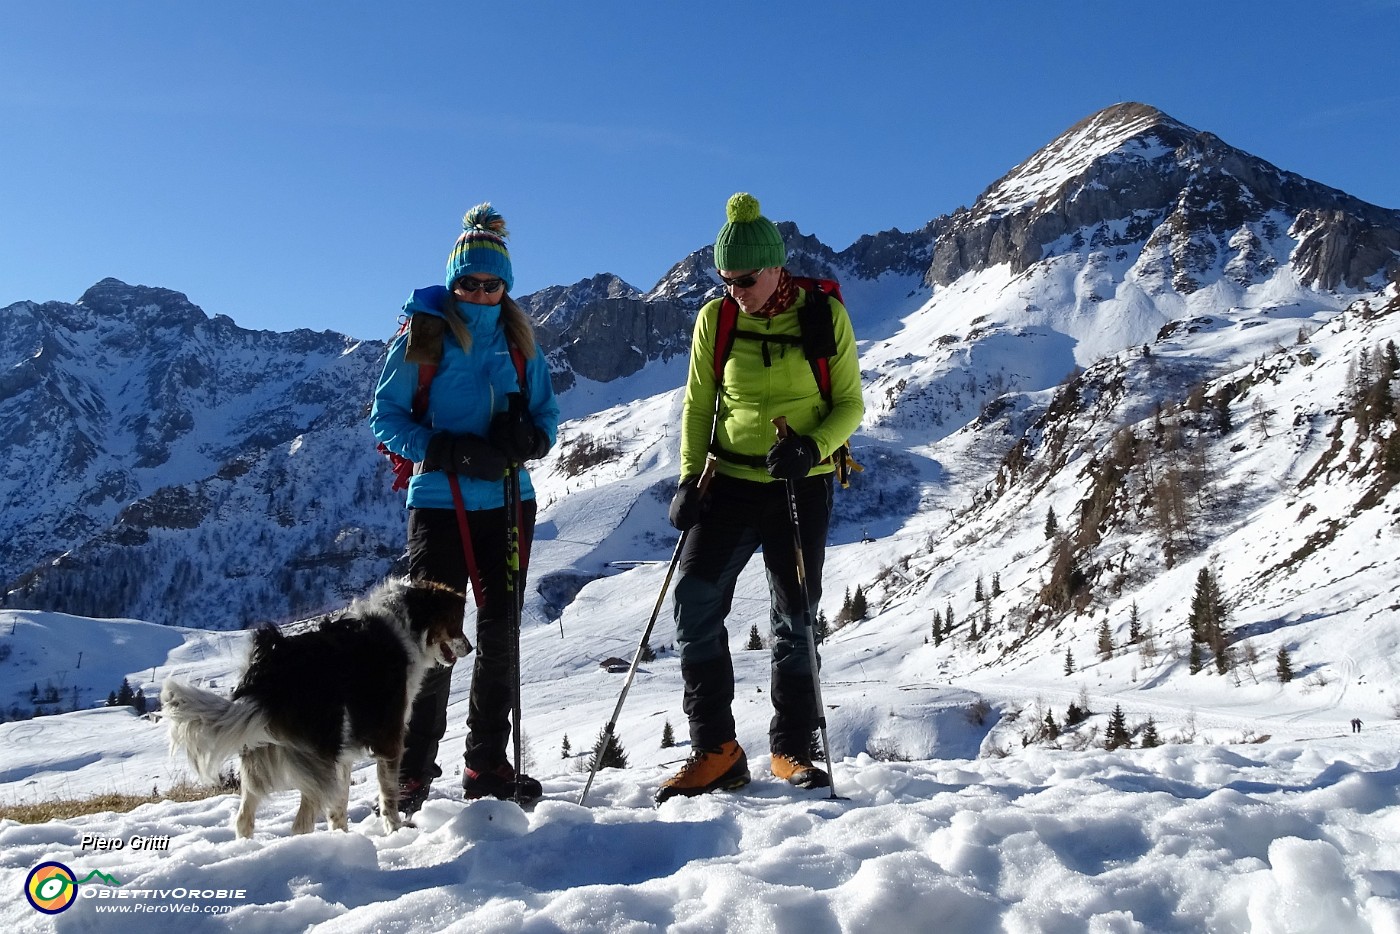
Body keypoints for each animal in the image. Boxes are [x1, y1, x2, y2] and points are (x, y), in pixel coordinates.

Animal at [156, 579, 467, 834]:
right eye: (455, 619)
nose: (470, 647)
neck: (408, 622)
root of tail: (267, 672)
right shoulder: (388, 737)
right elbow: (388, 796)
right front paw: (395, 832)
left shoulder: (346, 750)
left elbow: (340, 805)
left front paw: (343, 836)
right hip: (317, 757)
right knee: (300, 824)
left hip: (262, 754)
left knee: (244, 818)